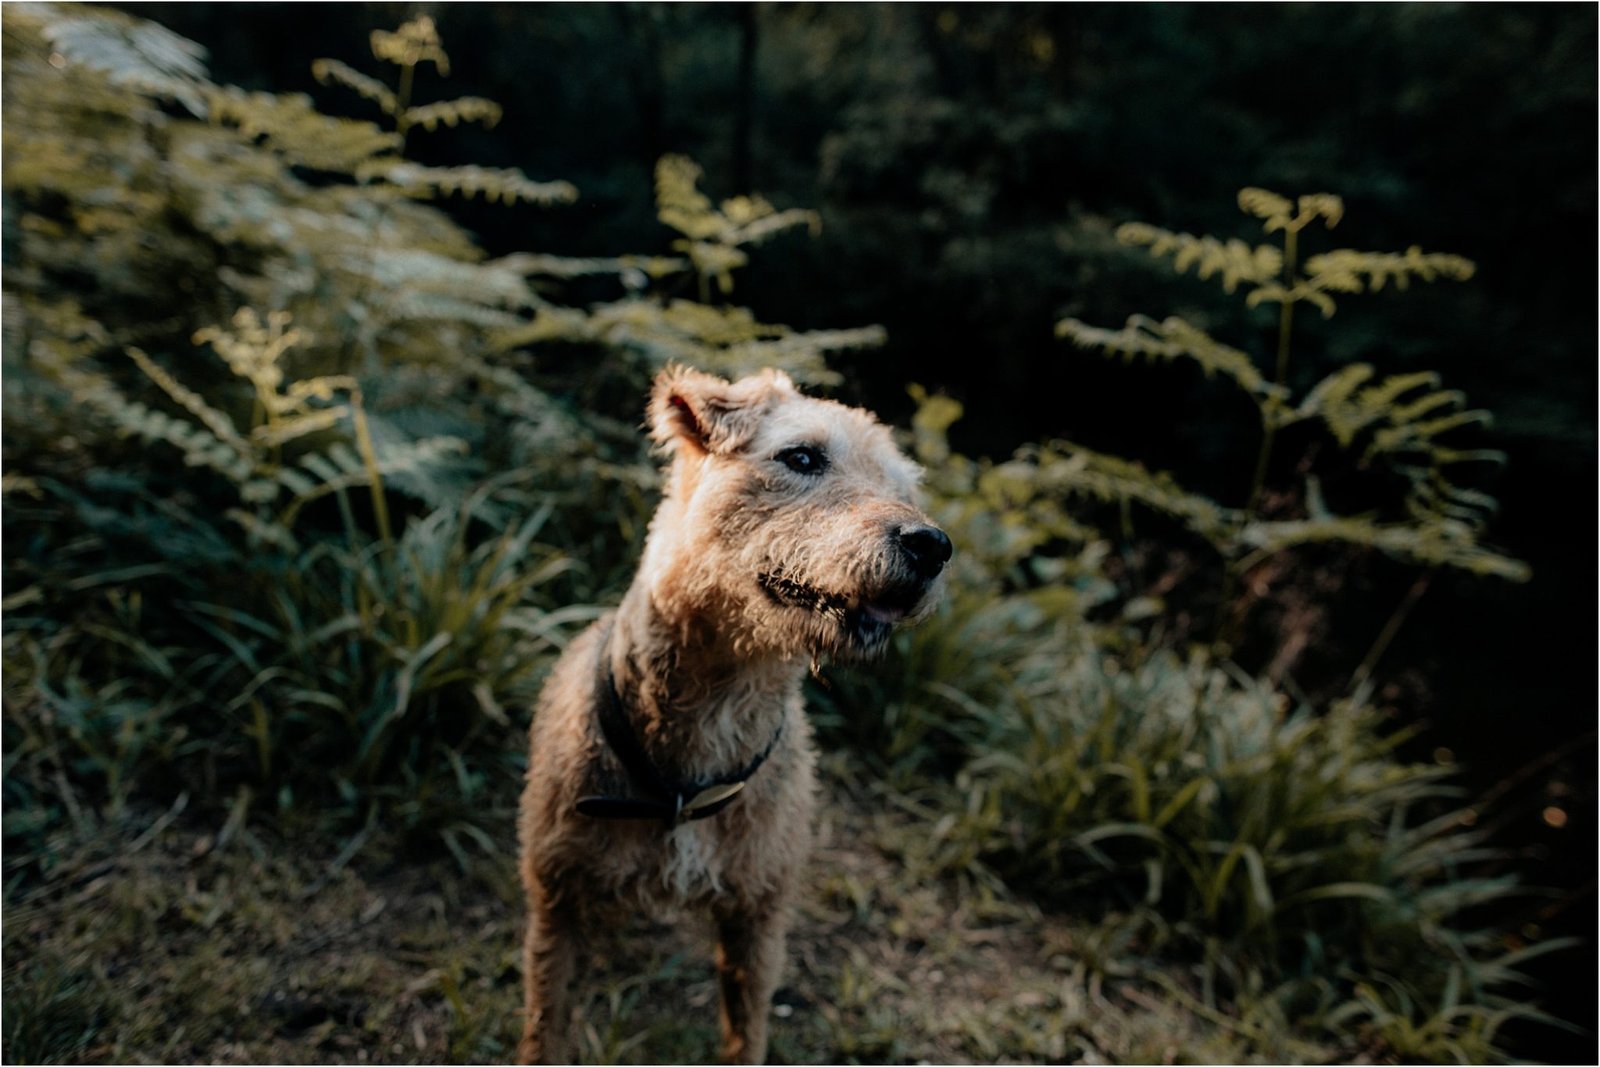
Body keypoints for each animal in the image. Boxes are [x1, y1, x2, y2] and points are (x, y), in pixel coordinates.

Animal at [518, 364, 947, 1062]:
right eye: (801, 457)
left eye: (903, 488)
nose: (931, 544)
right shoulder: (557, 905)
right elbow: (545, 1027)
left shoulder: (758, 919)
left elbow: (747, 1031)